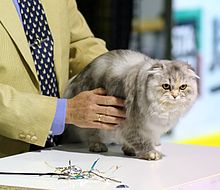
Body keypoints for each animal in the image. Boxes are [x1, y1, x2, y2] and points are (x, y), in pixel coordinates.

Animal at [60, 49, 199, 160]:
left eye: (183, 87)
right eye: (166, 86)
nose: (175, 96)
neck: (165, 110)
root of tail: (75, 78)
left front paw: (129, 149)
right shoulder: (131, 124)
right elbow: (141, 141)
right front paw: (150, 153)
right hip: (93, 121)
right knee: (90, 135)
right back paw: (97, 146)